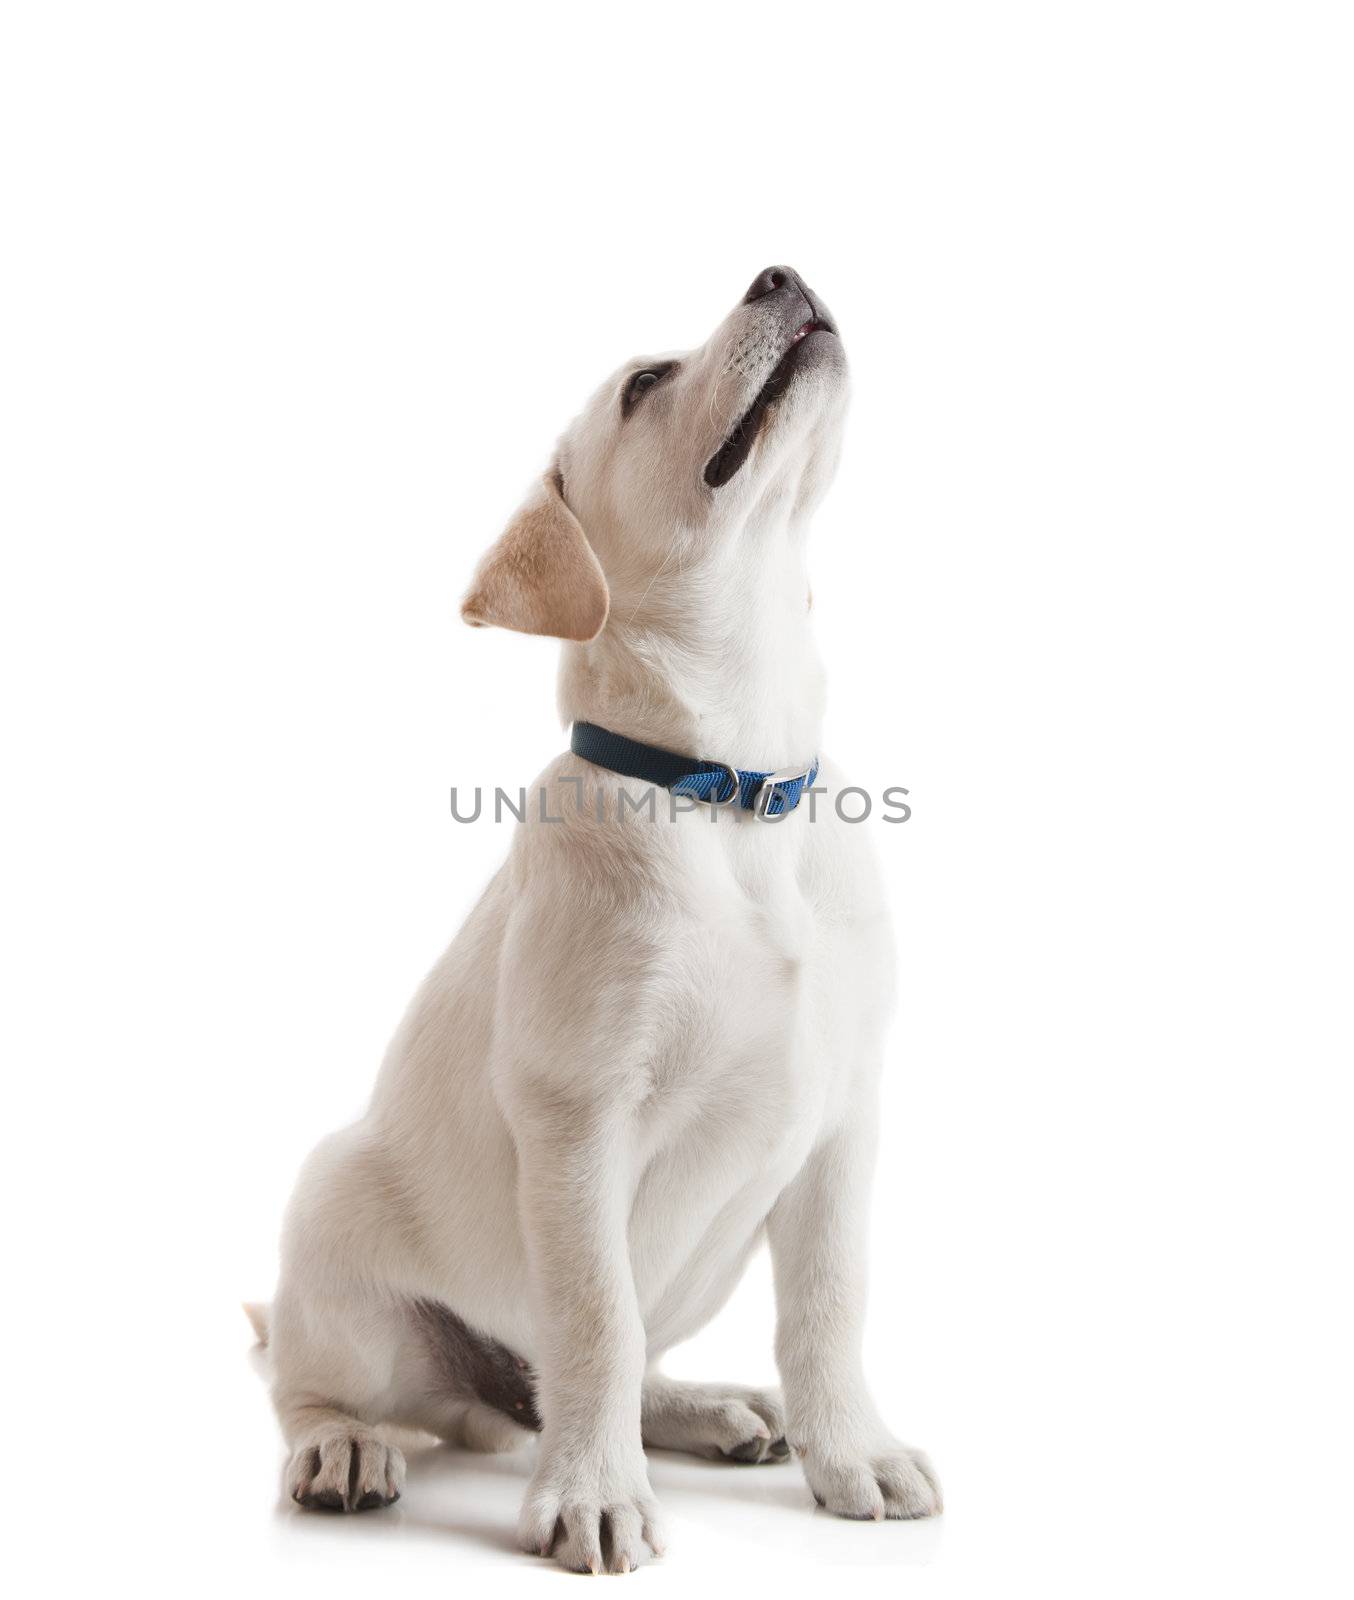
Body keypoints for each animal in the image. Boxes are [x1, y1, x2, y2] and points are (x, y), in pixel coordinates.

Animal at [259, 265, 947, 1574]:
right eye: (644, 386)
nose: (781, 273)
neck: (732, 792)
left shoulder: (845, 1116)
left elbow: (826, 1304)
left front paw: (852, 1451)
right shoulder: (580, 1119)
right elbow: (594, 1319)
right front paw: (592, 1496)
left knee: (603, 1372)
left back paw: (720, 1409)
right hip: (332, 1222)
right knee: (322, 1382)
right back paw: (347, 1448)